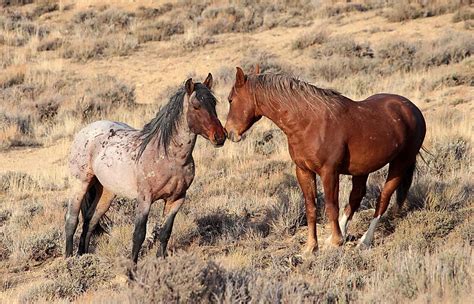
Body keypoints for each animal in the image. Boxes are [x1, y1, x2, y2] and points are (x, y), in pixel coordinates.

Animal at [65, 73, 226, 262]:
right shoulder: (145, 200)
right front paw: (132, 266)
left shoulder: (177, 199)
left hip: (106, 192)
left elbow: (165, 233)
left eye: (214, 103)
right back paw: (69, 260)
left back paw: (82, 256)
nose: (220, 137)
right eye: (196, 106)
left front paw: (160, 261)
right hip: (80, 183)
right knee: (71, 220)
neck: (170, 158)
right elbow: (139, 235)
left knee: (90, 221)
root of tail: (86, 130)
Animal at [225, 67, 426, 255]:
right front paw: (311, 247)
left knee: (383, 199)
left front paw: (337, 241)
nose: (228, 132)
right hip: (362, 169)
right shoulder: (303, 171)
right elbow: (311, 208)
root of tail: (412, 109)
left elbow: (331, 206)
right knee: (356, 196)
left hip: (400, 164)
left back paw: (364, 241)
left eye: (230, 100)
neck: (307, 124)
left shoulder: (329, 172)